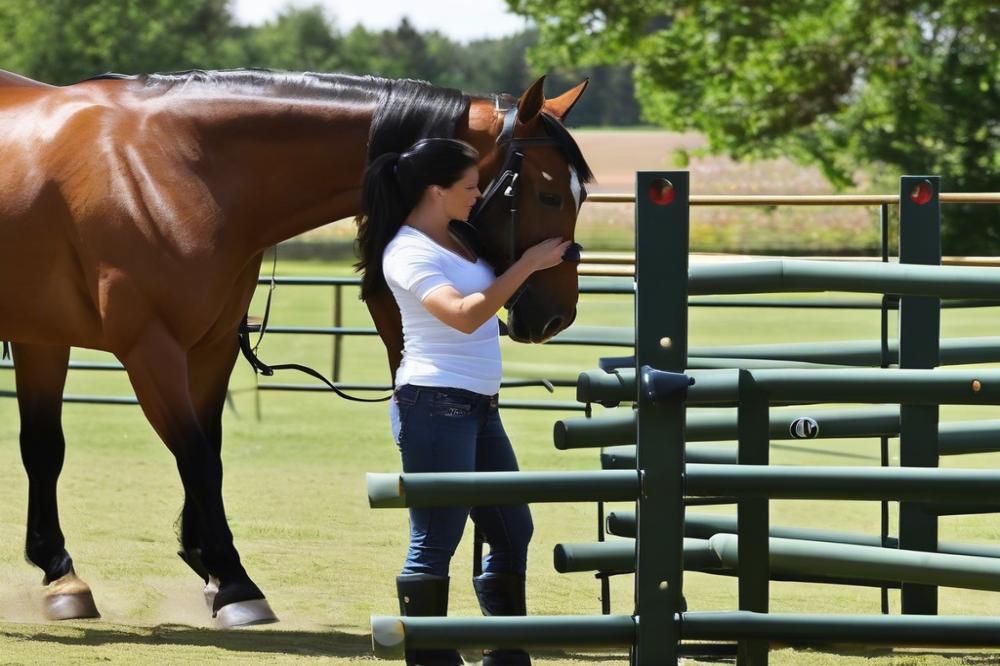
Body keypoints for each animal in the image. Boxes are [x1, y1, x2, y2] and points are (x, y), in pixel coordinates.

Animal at [0, 66, 588, 624]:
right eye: (549, 193)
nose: (557, 315)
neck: (172, 167)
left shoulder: (198, 346)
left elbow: (70, 449)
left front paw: (74, 572)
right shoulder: (150, 348)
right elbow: (194, 455)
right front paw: (235, 583)